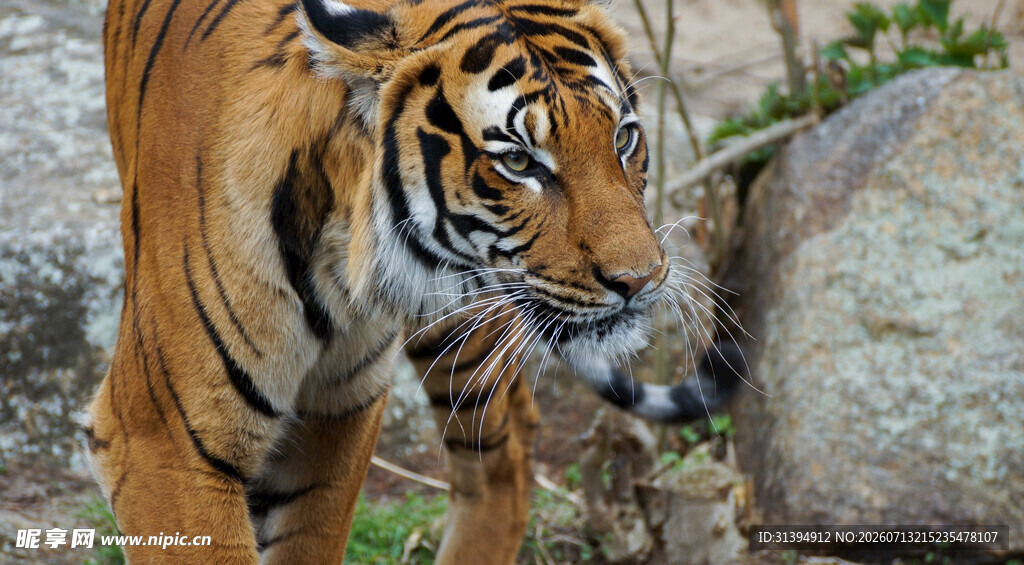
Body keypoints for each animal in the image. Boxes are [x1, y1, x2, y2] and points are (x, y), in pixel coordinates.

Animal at [82, 0, 740, 563]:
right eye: (519, 161)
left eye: (623, 137)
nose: (642, 279)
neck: (336, 271)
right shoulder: (167, 442)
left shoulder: (336, 412)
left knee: (503, 458)